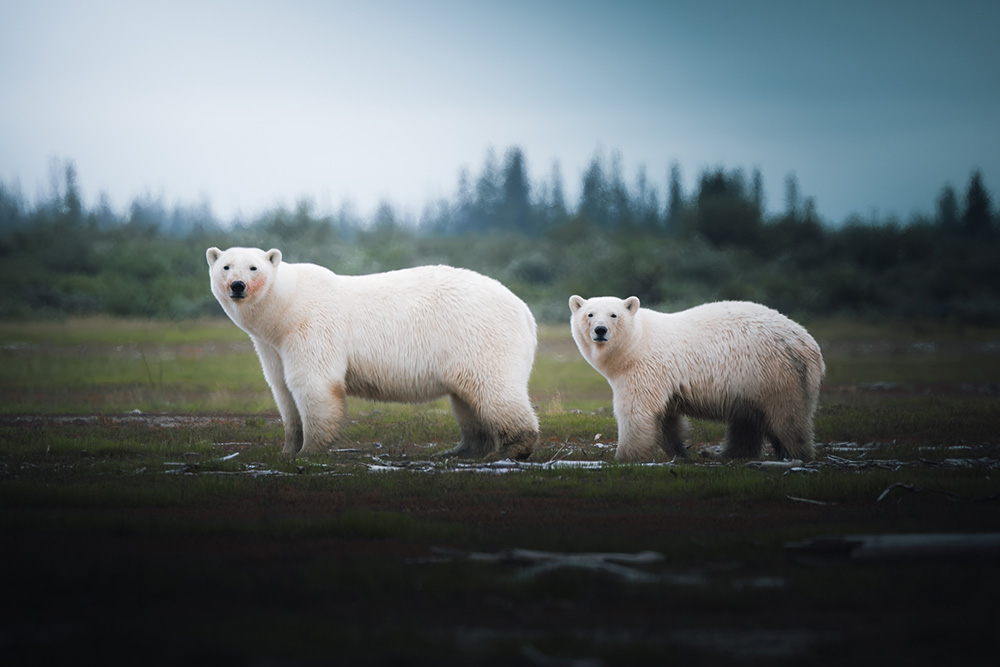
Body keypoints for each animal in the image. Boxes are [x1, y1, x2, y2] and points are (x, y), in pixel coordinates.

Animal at [207, 246, 539, 459]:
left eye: (254, 267)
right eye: (225, 266)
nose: (238, 285)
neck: (286, 308)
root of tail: (525, 311)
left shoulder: (312, 327)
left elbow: (312, 383)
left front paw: (310, 450)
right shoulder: (272, 345)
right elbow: (282, 388)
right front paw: (287, 449)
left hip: (479, 335)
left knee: (492, 389)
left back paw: (510, 449)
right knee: (467, 398)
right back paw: (461, 450)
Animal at [569, 295, 824, 462]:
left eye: (614, 315)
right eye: (589, 314)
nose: (600, 330)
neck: (635, 344)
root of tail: (808, 340)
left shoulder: (645, 368)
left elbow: (636, 410)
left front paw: (624, 456)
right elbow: (667, 418)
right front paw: (679, 452)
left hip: (777, 372)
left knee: (787, 415)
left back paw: (796, 454)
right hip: (755, 381)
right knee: (748, 419)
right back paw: (725, 454)